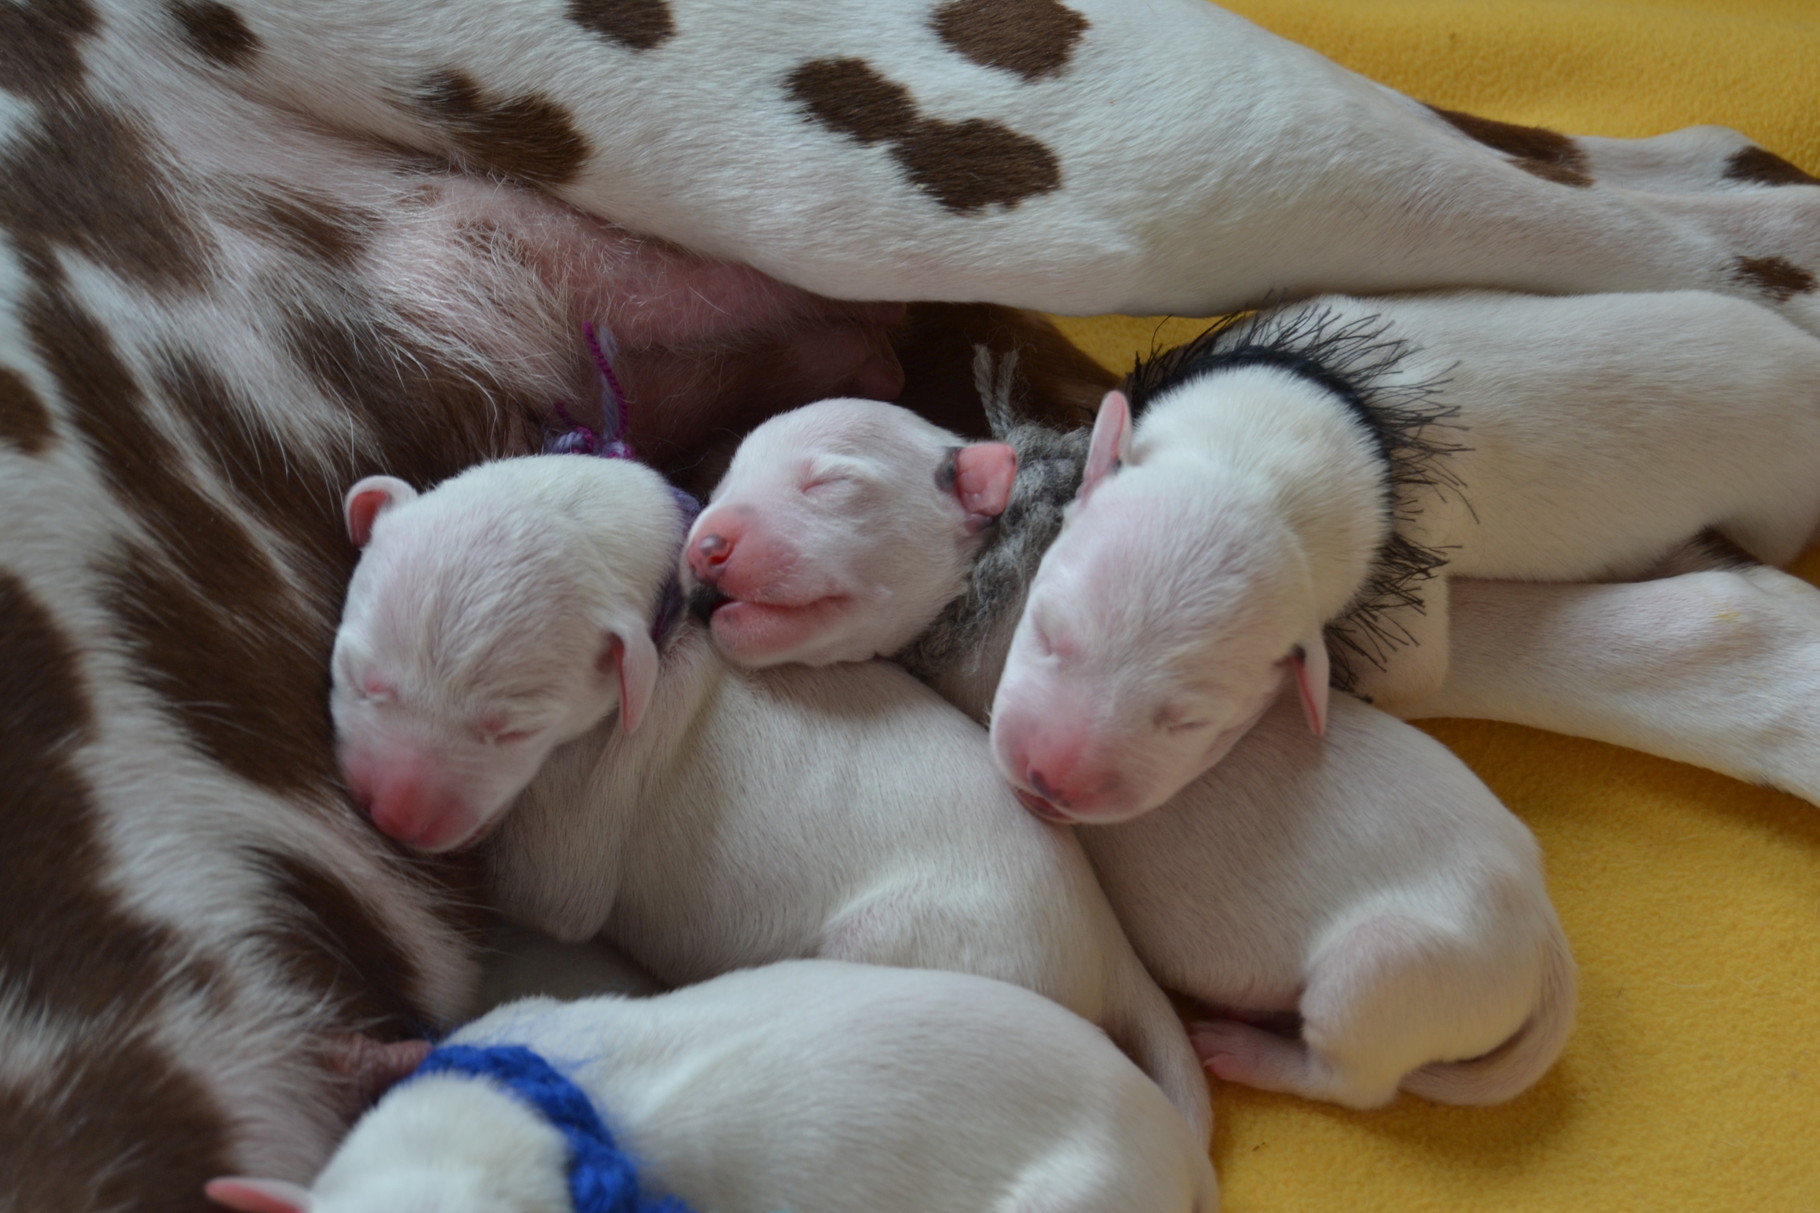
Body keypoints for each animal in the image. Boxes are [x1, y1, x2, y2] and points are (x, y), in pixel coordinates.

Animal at [334, 451, 1215, 1136]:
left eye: (510, 730)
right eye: (356, 673)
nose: (390, 814)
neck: (664, 616)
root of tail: (1109, 948)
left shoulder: (571, 837)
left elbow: (536, 888)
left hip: (927, 946)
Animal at [990, 289, 1820, 815]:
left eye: (1193, 722)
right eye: (1046, 632)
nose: (1047, 780)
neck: (1264, 452)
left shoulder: (1398, 606)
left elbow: (1409, 674)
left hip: (1780, 501)